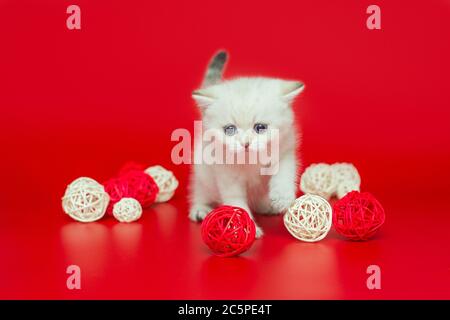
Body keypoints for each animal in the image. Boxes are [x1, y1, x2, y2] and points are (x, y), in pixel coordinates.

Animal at [188, 51, 304, 238]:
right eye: (229, 129)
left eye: (260, 127)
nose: (246, 143)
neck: (252, 161)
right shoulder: (226, 173)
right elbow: (235, 201)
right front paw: (245, 228)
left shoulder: (286, 148)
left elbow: (285, 171)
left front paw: (282, 196)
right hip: (203, 170)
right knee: (200, 189)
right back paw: (201, 208)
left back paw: (267, 205)